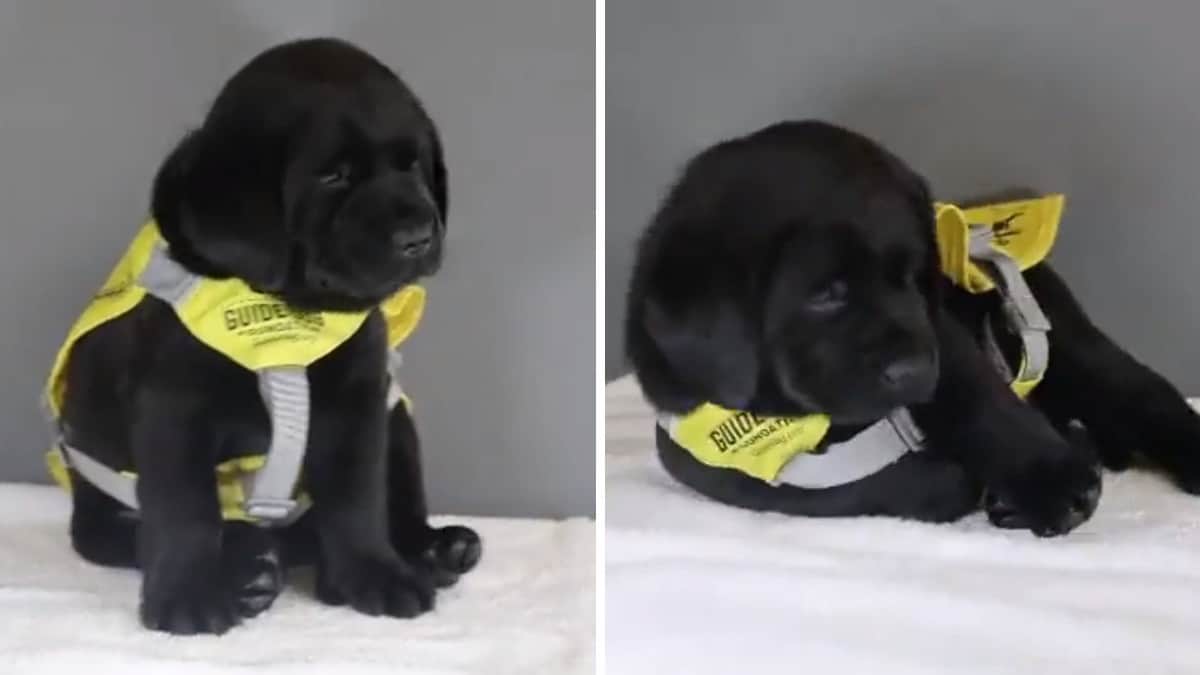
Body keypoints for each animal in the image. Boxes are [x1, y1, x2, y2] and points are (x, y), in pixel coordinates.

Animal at [43, 39, 482, 634]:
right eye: (333, 177)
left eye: (412, 164)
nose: (417, 236)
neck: (288, 305)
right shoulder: (173, 409)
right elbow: (184, 509)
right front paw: (186, 595)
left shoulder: (359, 401)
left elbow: (358, 496)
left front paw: (374, 573)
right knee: (113, 531)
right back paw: (249, 566)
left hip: (398, 417)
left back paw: (428, 552)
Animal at [624, 119, 1200, 535]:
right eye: (825, 294)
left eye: (910, 275)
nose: (914, 370)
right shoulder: (713, 453)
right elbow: (841, 491)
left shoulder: (941, 336)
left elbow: (978, 398)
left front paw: (1050, 478)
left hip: (1075, 351)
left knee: (1147, 398)